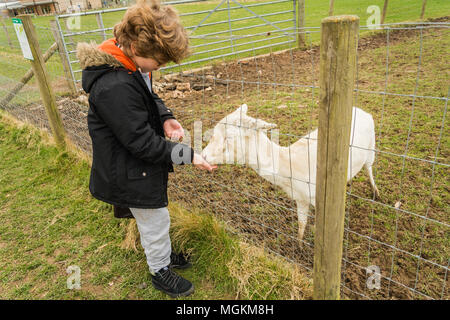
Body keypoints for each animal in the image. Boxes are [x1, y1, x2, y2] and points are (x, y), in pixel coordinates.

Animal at [202, 104, 378, 239]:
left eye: (229, 137)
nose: (203, 155)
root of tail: (362, 110)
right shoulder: (300, 199)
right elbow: (301, 224)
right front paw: (299, 247)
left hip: (371, 147)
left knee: (369, 167)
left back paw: (375, 192)